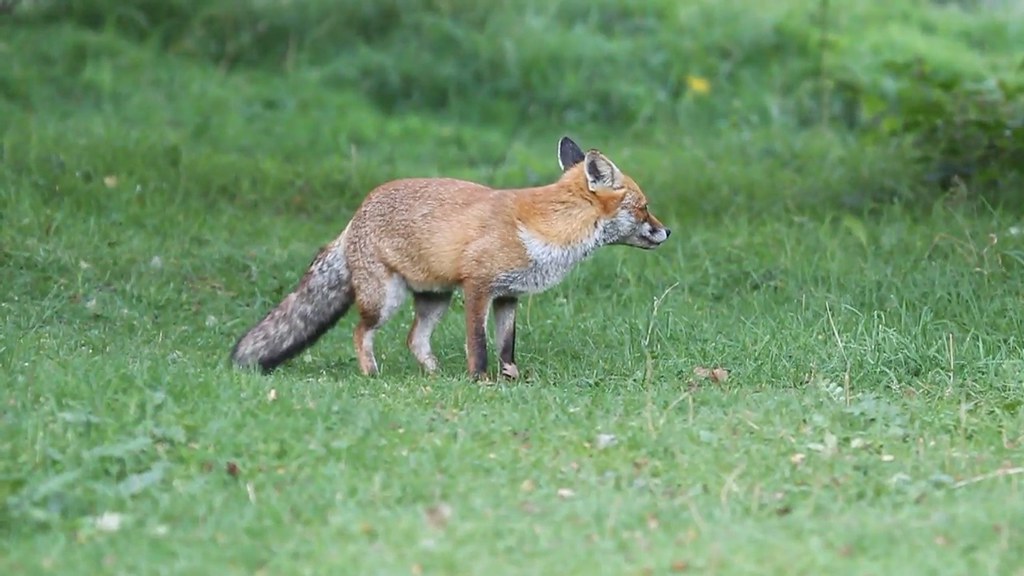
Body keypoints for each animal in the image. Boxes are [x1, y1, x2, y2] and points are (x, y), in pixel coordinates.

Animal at [230, 136, 671, 380]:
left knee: (413, 339)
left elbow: (507, 346)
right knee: (360, 331)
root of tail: (357, 214)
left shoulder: (509, 296)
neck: (550, 228)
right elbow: (478, 343)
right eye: (645, 208)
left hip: (435, 299)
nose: (667, 232)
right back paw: (371, 373)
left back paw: (435, 374)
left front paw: (511, 378)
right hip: (386, 299)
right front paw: (479, 380)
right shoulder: (477, 287)